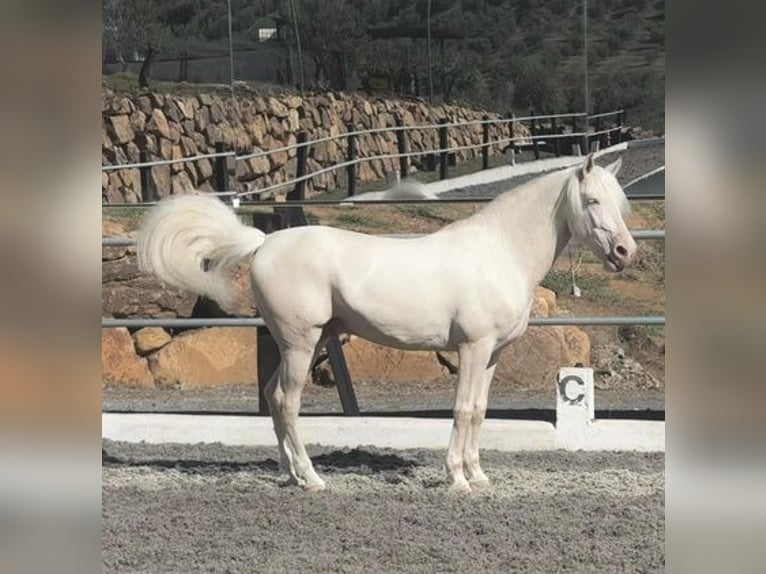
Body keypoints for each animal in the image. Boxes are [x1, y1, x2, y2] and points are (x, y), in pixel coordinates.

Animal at [138, 154, 636, 496]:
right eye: (592, 200)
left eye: (620, 203)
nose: (625, 253)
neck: (498, 252)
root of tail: (263, 242)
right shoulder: (472, 348)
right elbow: (463, 410)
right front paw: (457, 479)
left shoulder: (492, 354)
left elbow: (479, 411)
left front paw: (479, 475)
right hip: (301, 344)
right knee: (286, 401)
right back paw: (312, 478)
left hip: (300, 343)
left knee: (272, 396)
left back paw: (290, 475)